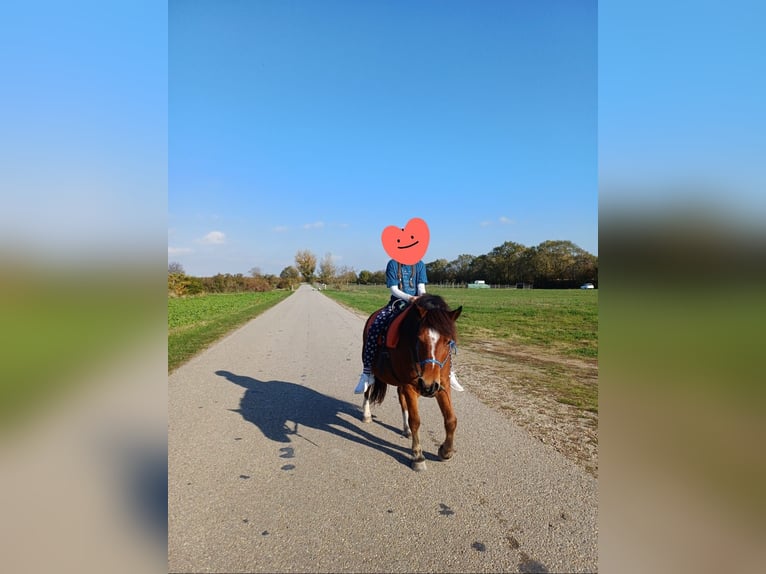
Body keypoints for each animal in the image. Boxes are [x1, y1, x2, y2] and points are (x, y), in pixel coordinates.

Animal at [362, 296, 462, 472]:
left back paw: (406, 430)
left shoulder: (442, 385)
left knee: (402, 401)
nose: (428, 385)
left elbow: (451, 419)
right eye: (419, 338)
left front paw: (446, 451)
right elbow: (415, 420)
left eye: (448, 341)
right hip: (371, 369)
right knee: (367, 389)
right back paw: (366, 415)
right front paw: (418, 456)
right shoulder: (411, 385)